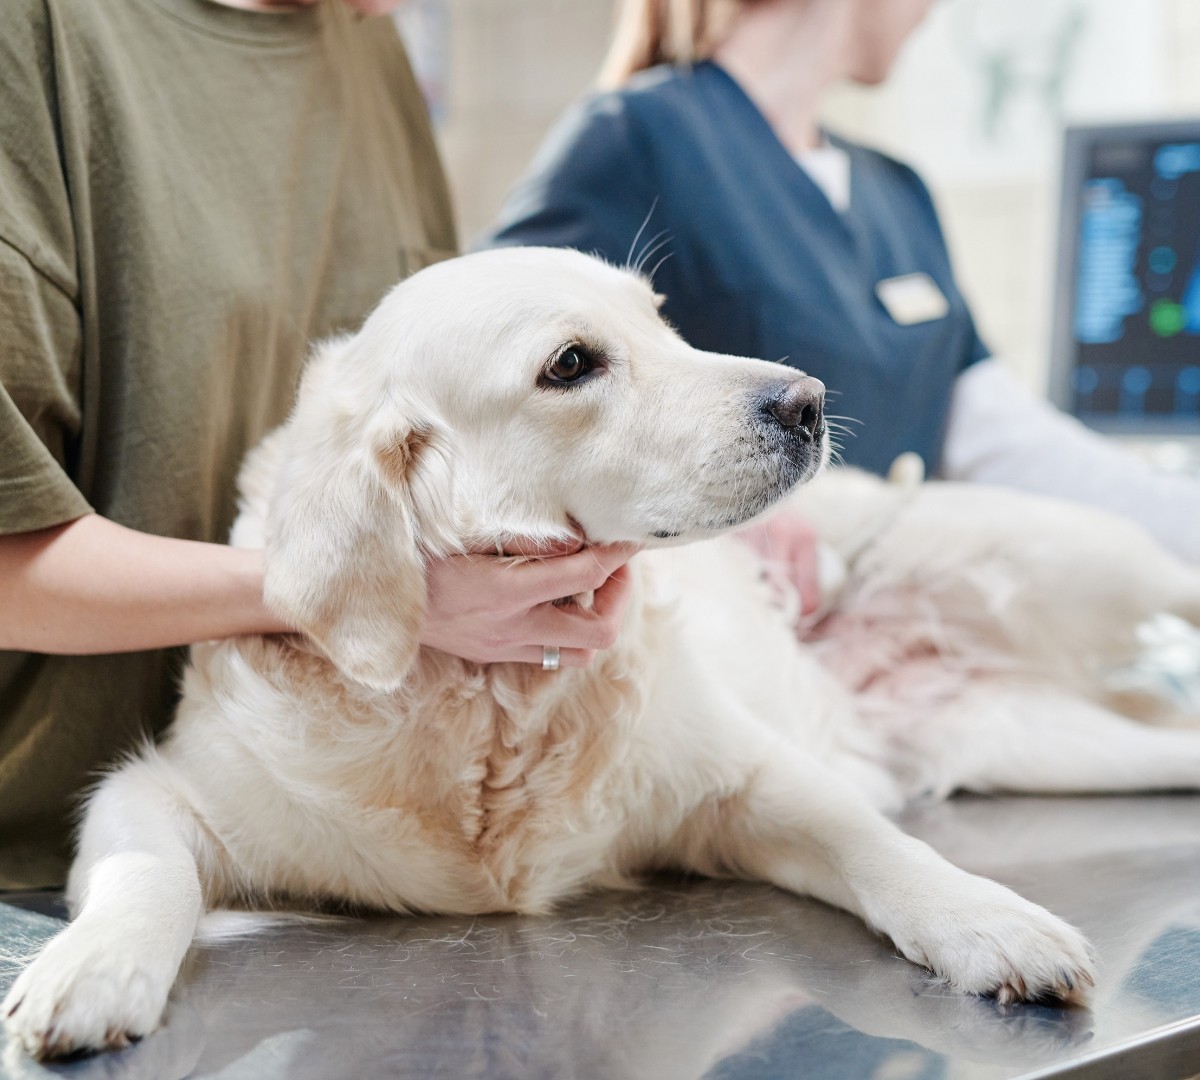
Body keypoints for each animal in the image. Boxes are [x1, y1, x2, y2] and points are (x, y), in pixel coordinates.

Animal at [9, 242, 1200, 1056]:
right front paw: (92, 970)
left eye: (666, 324)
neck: (493, 700)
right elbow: (147, 872)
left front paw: (991, 923)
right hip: (1056, 741)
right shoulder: (159, 790)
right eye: (572, 363)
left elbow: (884, 849)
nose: (808, 401)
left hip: (1077, 558)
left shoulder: (749, 778)